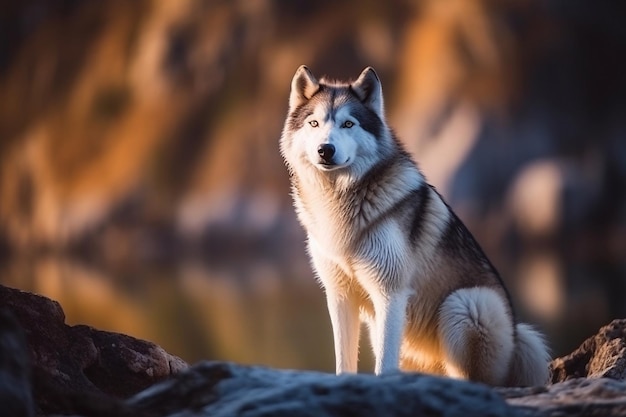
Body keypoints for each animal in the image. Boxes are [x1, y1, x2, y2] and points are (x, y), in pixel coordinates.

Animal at [278, 65, 544, 386]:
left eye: (348, 124)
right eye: (314, 123)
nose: (325, 150)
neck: (340, 200)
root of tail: (517, 338)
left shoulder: (390, 293)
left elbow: (384, 364)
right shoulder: (340, 296)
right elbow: (344, 360)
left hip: (466, 304)